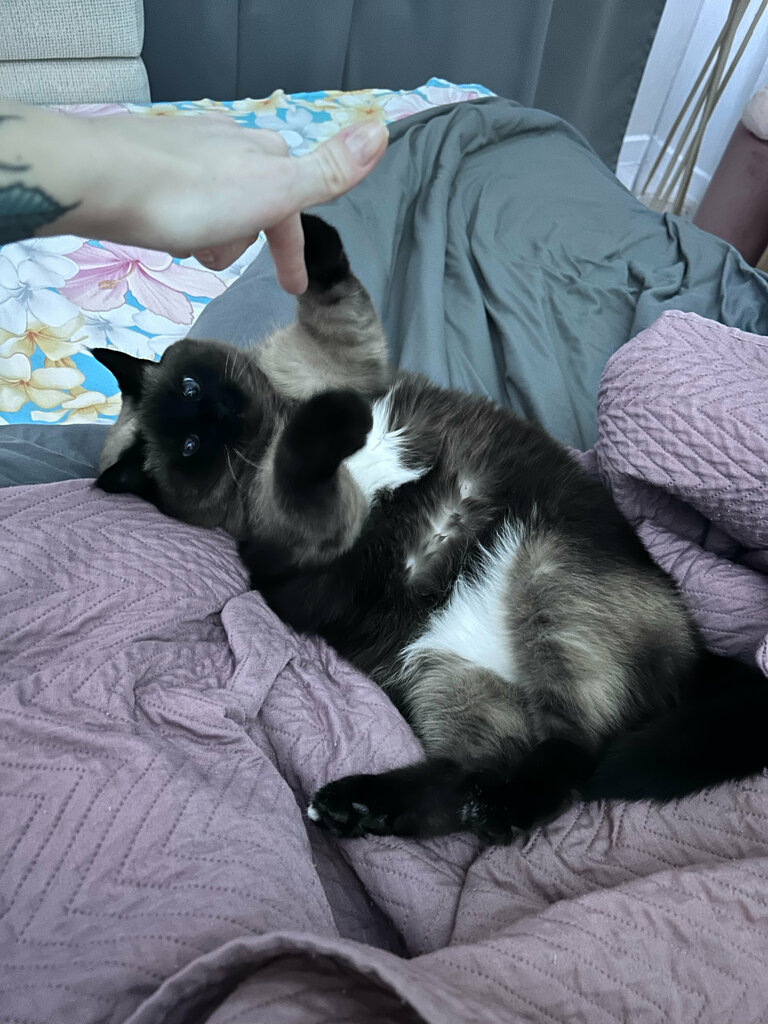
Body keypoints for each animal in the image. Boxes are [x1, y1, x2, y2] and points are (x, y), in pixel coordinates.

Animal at [94, 213, 768, 843]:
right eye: (190, 447)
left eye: (191, 386)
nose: (219, 414)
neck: (272, 424)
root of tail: (699, 651)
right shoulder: (310, 519)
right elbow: (304, 464)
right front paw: (325, 433)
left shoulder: (345, 362)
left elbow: (331, 289)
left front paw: (302, 214)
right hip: (462, 661)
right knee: (528, 769)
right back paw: (392, 806)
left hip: (544, 582)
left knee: (553, 753)